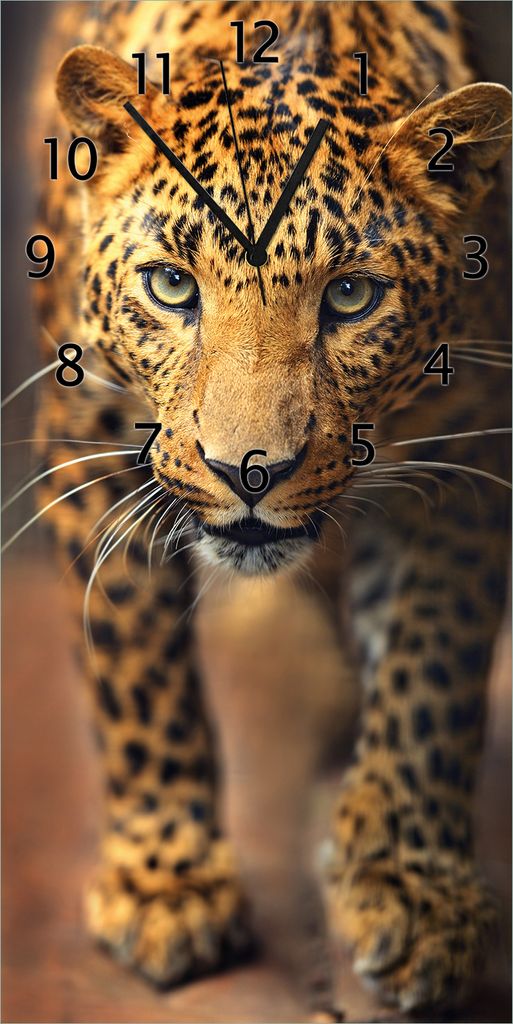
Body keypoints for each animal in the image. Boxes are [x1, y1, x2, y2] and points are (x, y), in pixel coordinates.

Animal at [30, 0, 511, 1014]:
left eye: (351, 295)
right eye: (172, 285)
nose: (248, 471)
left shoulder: (468, 452)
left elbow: (431, 672)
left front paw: (410, 886)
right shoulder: (84, 436)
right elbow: (136, 669)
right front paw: (166, 884)